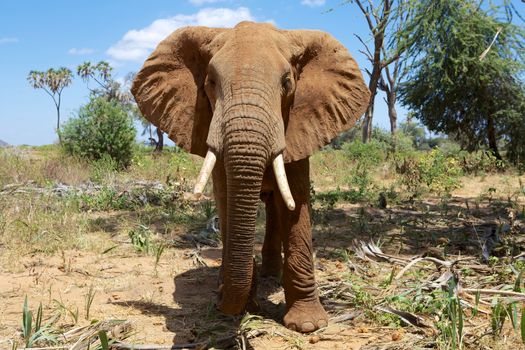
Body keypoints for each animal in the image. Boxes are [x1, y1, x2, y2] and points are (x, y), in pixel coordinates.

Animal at [131, 20, 368, 332]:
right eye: (211, 82)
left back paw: (270, 277)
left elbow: (295, 202)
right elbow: (225, 200)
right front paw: (245, 307)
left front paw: (307, 325)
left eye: (287, 83)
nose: (219, 299)